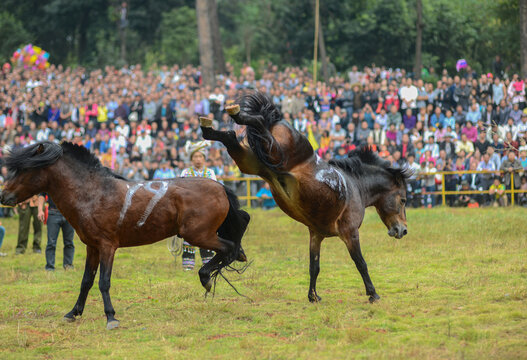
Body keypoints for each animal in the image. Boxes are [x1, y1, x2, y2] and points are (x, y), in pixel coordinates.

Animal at [0, 141, 251, 330]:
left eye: (24, 169)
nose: (4, 196)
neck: (92, 193)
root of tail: (221, 187)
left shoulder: (107, 246)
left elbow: (103, 282)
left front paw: (111, 317)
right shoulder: (92, 247)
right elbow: (86, 281)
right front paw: (73, 312)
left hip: (198, 234)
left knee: (229, 247)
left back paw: (207, 277)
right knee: (232, 245)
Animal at [200, 92, 410, 304]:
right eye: (403, 200)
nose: (402, 230)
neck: (355, 186)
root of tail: (276, 119)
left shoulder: (316, 234)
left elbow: (314, 266)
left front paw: (313, 296)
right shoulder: (350, 233)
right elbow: (360, 263)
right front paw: (373, 294)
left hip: (250, 161)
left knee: (230, 137)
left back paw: (210, 126)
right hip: (274, 154)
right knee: (256, 123)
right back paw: (235, 115)